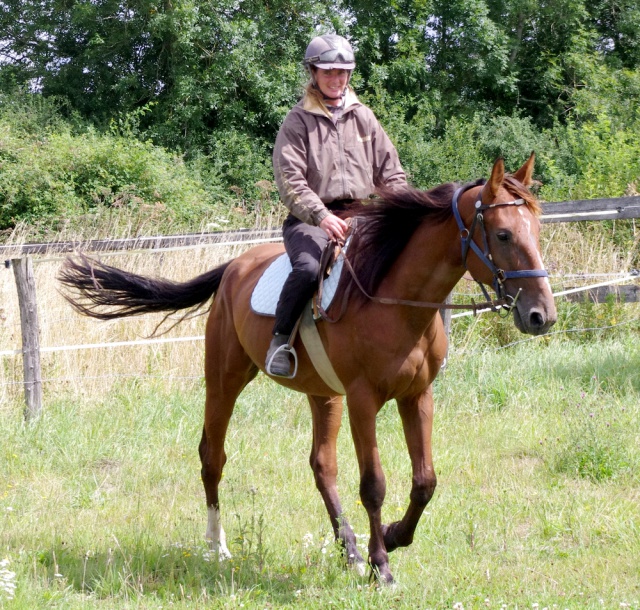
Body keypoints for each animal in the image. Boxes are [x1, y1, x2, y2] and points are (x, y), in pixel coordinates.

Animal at [58, 154, 556, 580]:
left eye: (536, 229)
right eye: (504, 235)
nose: (541, 316)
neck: (395, 302)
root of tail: (234, 267)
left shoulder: (417, 396)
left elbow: (425, 482)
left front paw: (392, 537)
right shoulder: (363, 401)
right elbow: (374, 485)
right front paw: (381, 566)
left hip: (324, 395)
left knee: (322, 466)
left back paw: (348, 549)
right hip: (224, 381)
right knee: (212, 457)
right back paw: (218, 546)